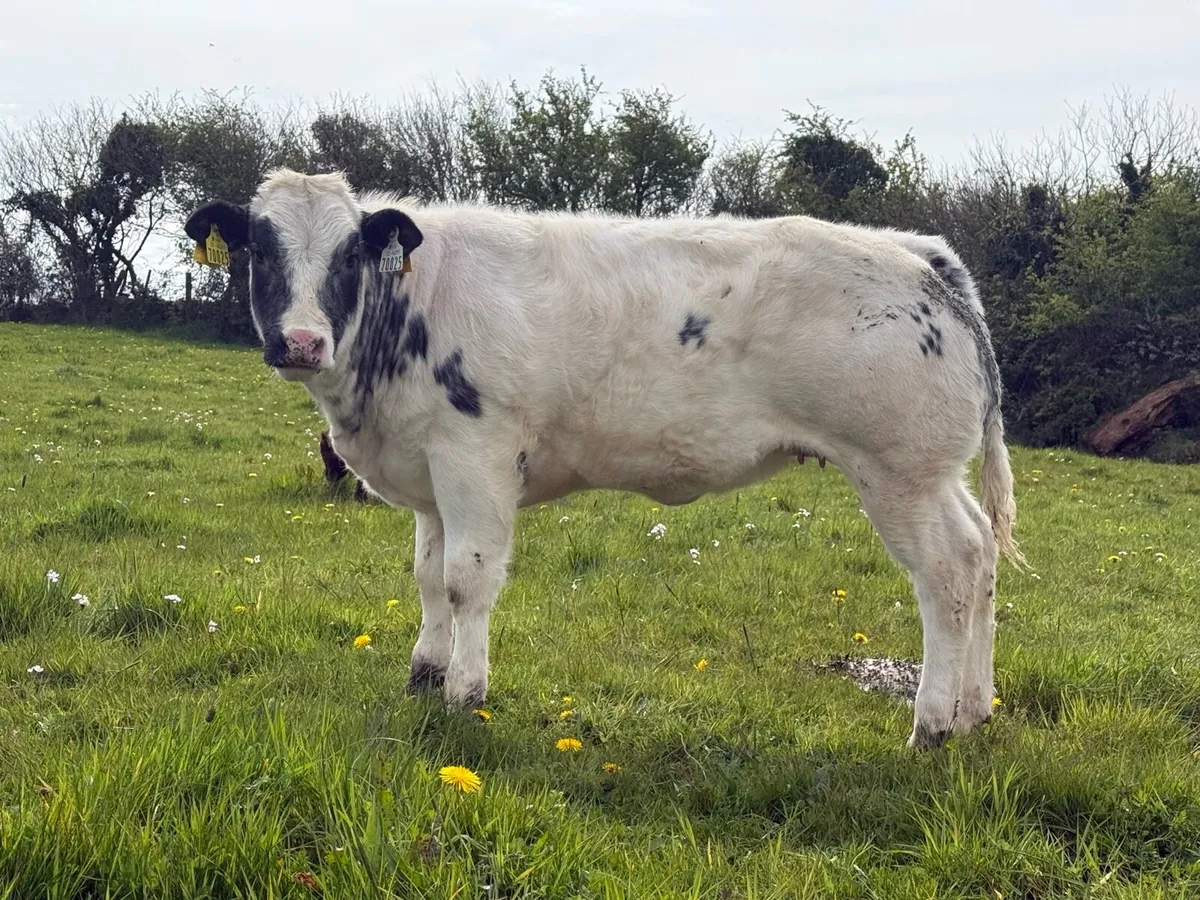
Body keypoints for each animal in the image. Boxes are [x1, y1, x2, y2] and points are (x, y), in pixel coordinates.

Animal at [185, 168, 1024, 749]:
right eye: (261, 249)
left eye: (349, 254)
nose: (301, 341)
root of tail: (919, 253)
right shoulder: (428, 472)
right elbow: (426, 578)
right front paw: (425, 674)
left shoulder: (476, 456)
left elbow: (466, 580)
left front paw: (465, 692)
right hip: (934, 475)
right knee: (982, 555)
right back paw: (975, 710)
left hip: (900, 474)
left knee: (948, 572)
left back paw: (932, 723)